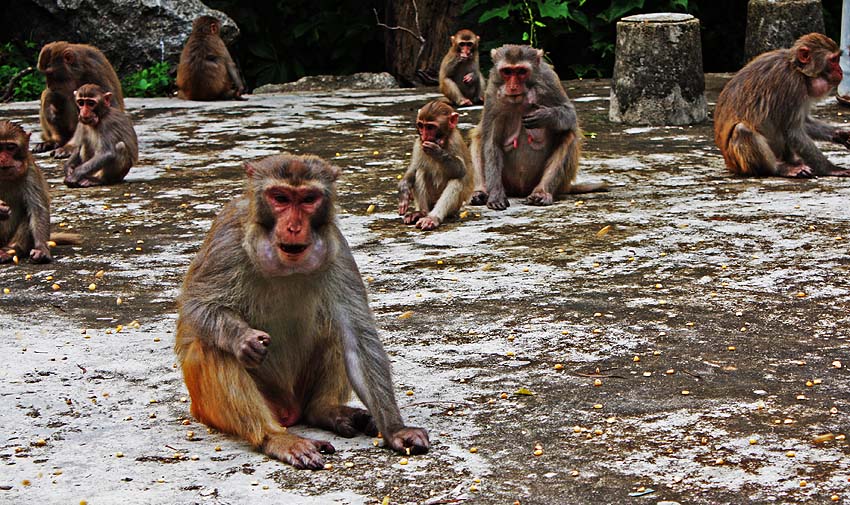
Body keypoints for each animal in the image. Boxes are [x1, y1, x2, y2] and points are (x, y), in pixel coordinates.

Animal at [176, 154, 430, 468]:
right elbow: (196, 309)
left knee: (335, 332)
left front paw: (395, 429)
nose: (295, 227)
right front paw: (243, 338)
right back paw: (275, 437)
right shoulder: (228, 239)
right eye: (280, 198)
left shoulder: (337, 248)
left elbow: (356, 336)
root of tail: (289, 411)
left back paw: (324, 410)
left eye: (308, 199)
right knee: (211, 347)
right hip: (212, 408)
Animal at [396, 98, 470, 230]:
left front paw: (437, 151)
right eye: (421, 125)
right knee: (421, 171)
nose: (424, 136)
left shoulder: (455, 141)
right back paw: (421, 213)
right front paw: (403, 189)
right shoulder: (418, 144)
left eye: (430, 127)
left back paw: (432, 218)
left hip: (455, 208)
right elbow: (414, 168)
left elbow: (461, 170)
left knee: (457, 180)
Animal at [464, 43, 604, 209]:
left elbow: (570, 115)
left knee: (568, 134)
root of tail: (520, 190)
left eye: (521, 71)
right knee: (478, 138)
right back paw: (481, 192)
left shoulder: (549, 79)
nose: (513, 87)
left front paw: (545, 116)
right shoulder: (492, 92)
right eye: (507, 71)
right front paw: (496, 194)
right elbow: (490, 143)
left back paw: (541, 192)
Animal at [712, 32, 850, 177]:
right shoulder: (791, 84)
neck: (797, 69)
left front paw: (841, 134)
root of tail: (729, 164)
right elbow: (793, 131)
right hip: (740, 163)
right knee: (742, 130)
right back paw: (781, 168)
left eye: (837, 59)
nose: (841, 71)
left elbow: (803, 123)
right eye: (833, 60)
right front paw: (832, 169)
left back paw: (793, 160)